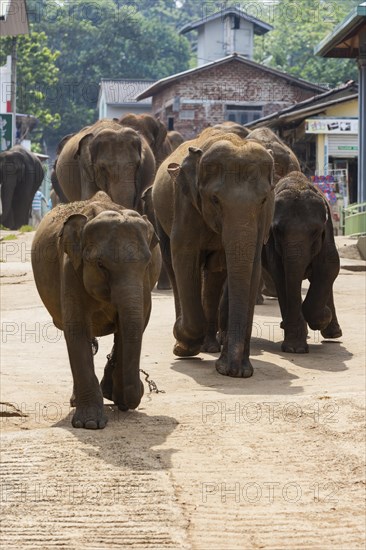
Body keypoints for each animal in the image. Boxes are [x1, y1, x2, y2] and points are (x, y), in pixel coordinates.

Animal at [31, 193, 162, 432]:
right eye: (101, 264)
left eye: (148, 262)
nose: (141, 389)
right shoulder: (70, 269)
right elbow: (77, 330)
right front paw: (90, 423)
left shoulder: (145, 281)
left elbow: (134, 325)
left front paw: (119, 398)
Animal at [152, 129, 274, 380]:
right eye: (215, 199)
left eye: (263, 200)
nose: (233, 370)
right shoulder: (185, 200)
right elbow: (185, 256)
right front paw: (185, 344)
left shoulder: (264, 218)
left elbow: (251, 266)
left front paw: (239, 371)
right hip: (160, 217)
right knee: (174, 266)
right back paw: (184, 343)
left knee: (215, 272)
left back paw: (210, 346)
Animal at [262, 170, 342, 356]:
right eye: (277, 230)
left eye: (315, 232)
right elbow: (281, 276)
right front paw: (294, 349)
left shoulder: (327, 234)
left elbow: (330, 266)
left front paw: (323, 317)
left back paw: (333, 333)